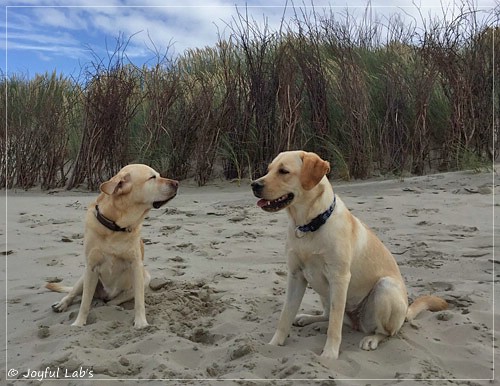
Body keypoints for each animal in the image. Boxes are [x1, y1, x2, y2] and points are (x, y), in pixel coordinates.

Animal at [47, 163, 179, 328]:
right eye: (152, 177)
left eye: (158, 175)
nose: (177, 183)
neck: (116, 227)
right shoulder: (91, 267)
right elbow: (84, 302)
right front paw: (78, 323)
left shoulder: (136, 266)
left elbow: (139, 301)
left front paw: (141, 323)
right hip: (84, 277)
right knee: (75, 294)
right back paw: (62, 304)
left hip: (145, 278)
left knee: (112, 301)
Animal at [252, 151, 448, 358]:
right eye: (268, 170)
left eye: (284, 171)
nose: (254, 184)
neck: (309, 225)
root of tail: (405, 314)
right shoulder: (295, 275)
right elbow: (285, 316)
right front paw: (273, 345)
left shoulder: (339, 278)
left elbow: (335, 326)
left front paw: (329, 355)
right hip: (325, 293)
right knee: (329, 316)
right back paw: (310, 320)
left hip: (385, 289)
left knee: (386, 331)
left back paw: (371, 339)